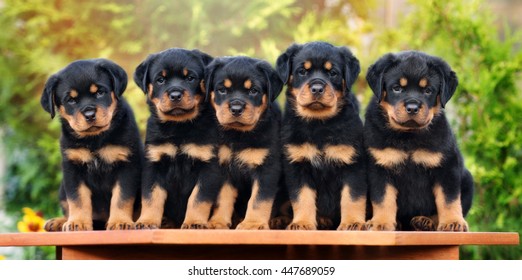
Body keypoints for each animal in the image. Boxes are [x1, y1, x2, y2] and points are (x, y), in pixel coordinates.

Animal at [39, 58, 143, 231]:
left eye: (100, 92)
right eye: (71, 100)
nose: (89, 114)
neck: (94, 139)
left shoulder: (127, 165)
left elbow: (121, 197)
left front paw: (120, 222)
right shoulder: (73, 168)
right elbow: (77, 199)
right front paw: (77, 223)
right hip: (62, 189)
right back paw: (58, 222)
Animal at [132, 47, 219, 229]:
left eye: (190, 78)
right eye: (160, 80)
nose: (175, 94)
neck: (179, 127)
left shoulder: (208, 166)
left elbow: (198, 198)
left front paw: (194, 222)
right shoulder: (154, 164)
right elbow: (151, 197)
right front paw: (147, 221)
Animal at [204, 55, 284, 230]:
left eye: (253, 91)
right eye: (222, 90)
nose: (236, 108)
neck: (238, 135)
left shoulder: (267, 168)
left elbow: (259, 199)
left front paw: (252, 224)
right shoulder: (224, 167)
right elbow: (223, 198)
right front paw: (218, 222)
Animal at [276, 41, 366, 230]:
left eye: (333, 73)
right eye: (302, 71)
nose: (317, 88)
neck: (319, 124)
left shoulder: (352, 164)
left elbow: (352, 197)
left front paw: (352, 222)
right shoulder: (298, 165)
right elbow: (302, 197)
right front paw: (302, 223)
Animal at [362, 50, 472, 232]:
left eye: (428, 90)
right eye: (397, 88)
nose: (412, 108)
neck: (409, 136)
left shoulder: (446, 167)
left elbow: (449, 199)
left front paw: (453, 222)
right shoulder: (380, 167)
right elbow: (383, 198)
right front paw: (381, 223)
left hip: (468, 179)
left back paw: (424, 222)